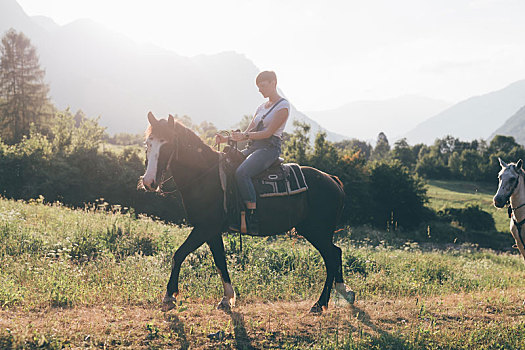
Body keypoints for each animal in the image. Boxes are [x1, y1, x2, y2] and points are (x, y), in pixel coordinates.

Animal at [140, 113, 352, 314]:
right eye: (148, 143)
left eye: (167, 144)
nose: (149, 182)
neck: (205, 177)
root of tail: (332, 179)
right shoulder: (212, 232)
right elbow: (220, 261)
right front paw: (227, 299)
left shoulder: (204, 228)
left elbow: (179, 254)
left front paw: (169, 295)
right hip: (317, 232)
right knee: (336, 253)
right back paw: (344, 291)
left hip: (317, 231)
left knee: (331, 258)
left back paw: (320, 304)